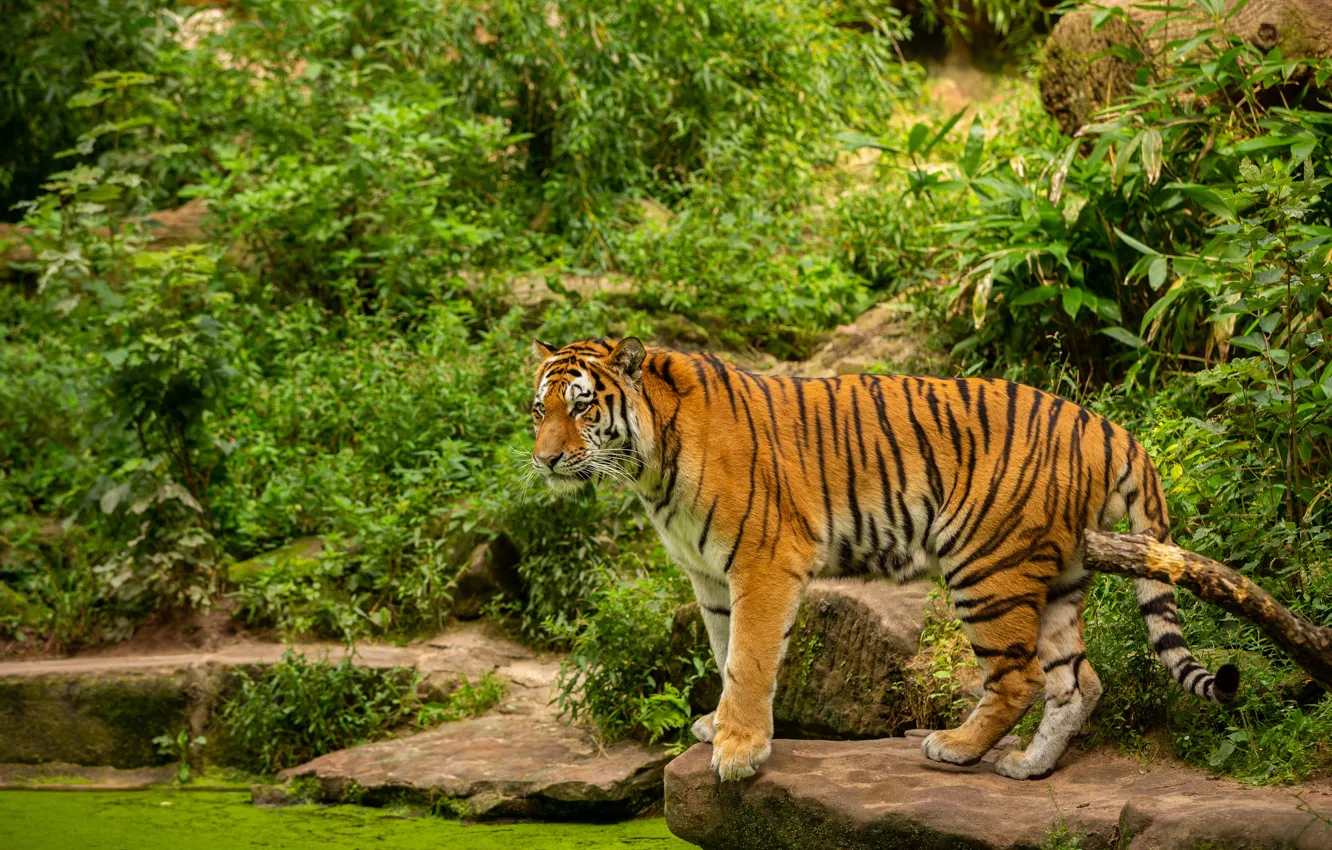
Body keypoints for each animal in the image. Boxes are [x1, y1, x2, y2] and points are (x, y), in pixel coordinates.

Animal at [528, 337, 1240, 781]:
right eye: (539, 409)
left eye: (583, 406)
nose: (545, 459)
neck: (649, 466)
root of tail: (1108, 426)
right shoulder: (709, 577)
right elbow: (724, 651)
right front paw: (720, 728)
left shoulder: (762, 561)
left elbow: (750, 659)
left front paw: (738, 751)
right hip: (1062, 576)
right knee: (1077, 681)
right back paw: (1028, 767)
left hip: (986, 565)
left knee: (1021, 678)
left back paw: (955, 748)